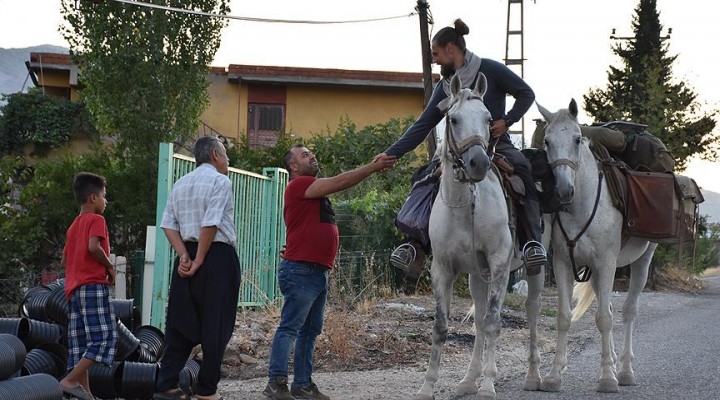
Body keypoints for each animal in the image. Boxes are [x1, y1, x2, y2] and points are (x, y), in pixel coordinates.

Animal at [416, 72, 516, 400]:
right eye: (454, 119)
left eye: (488, 118)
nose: (479, 164)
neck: (466, 204)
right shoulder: (443, 269)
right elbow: (441, 327)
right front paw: (427, 387)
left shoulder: (500, 264)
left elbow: (495, 322)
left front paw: (488, 385)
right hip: (477, 277)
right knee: (480, 325)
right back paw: (468, 381)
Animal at [536, 98, 660, 392]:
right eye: (547, 141)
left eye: (577, 138)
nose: (563, 191)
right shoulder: (563, 264)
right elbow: (564, 317)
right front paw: (554, 375)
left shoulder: (606, 263)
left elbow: (604, 318)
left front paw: (607, 378)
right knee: (613, 309)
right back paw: (614, 362)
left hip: (642, 261)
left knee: (628, 312)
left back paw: (624, 370)